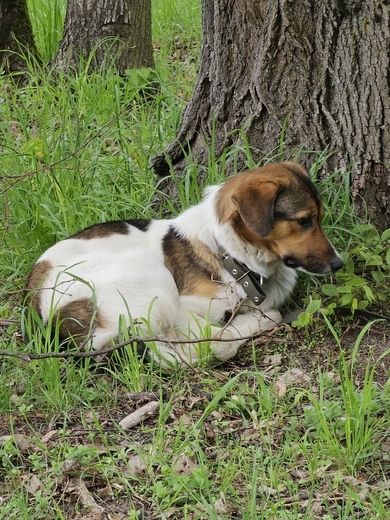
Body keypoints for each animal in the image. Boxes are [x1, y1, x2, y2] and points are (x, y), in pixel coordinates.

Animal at [25, 162, 342, 366]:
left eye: (319, 218)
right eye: (304, 221)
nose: (339, 264)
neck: (228, 254)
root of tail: (43, 314)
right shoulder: (183, 310)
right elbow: (225, 333)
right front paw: (249, 320)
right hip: (154, 282)